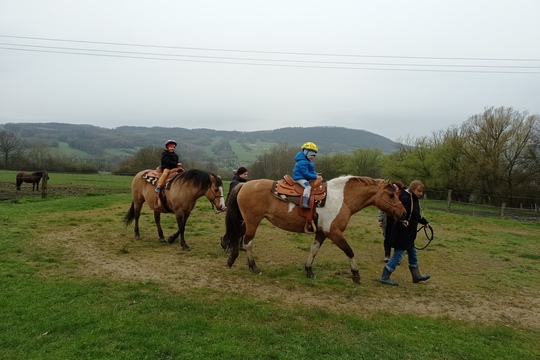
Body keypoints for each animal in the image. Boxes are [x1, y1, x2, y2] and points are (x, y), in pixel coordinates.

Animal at [223, 176, 404, 284]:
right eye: (391, 195)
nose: (403, 213)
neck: (342, 199)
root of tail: (244, 184)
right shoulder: (334, 232)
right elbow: (349, 251)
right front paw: (355, 274)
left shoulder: (322, 233)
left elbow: (314, 250)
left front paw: (309, 270)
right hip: (252, 221)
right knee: (248, 242)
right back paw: (253, 267)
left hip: (244, 221)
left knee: (238, 237)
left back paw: (232, 260)